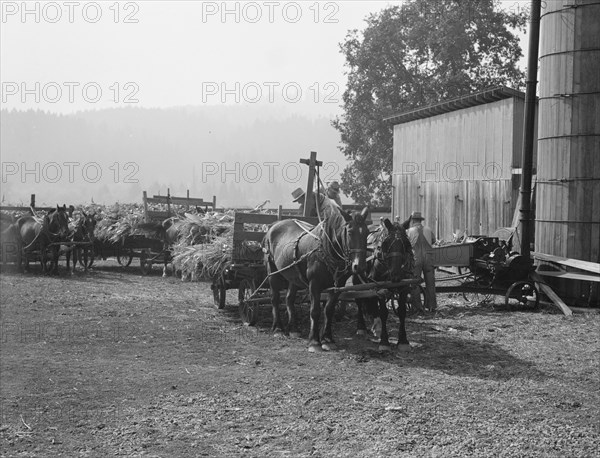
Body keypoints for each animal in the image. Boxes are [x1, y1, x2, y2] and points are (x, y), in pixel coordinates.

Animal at [264, 206, 370, 352]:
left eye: (367, 232)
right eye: (350, 232)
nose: (359, 266)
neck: (325, 249)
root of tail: (274, 225)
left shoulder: (337, 286)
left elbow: (329, 311)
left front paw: (328, 339)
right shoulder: (314, 284)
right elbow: (315, 311)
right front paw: (314, 341)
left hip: (294, 276)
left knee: (289, 299)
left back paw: (294, 329)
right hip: (273, 272)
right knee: (274, 298)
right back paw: (278, 329)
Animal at [354, 220, 414, 352]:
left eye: (406, 243)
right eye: (386, 243)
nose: (396, 275)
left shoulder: (404, 287)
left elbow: (402, 311)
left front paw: (403, 340)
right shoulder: (380, 286)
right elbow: (384, 313)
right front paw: (384, 341)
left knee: (371, 300)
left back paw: (376, 326)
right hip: (357, 279)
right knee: (359, 301)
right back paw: (361, 327)